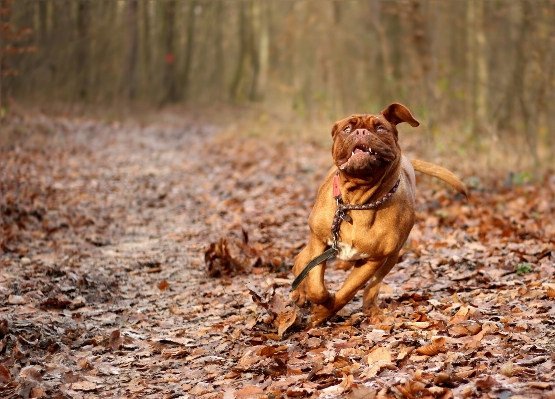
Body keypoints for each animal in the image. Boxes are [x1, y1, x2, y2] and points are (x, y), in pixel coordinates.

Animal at [292, 102, 470, 324]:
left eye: (380, 128)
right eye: (347, 129)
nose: (361, 131)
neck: (358, 202)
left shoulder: (373, 260)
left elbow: (347, 292)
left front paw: (324, 311)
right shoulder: (319, 240)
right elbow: (316, 285)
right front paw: (320, 300)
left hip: (392, 257)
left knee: (373, 285)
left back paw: (371, 308)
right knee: (302, 259)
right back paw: (299, 291)